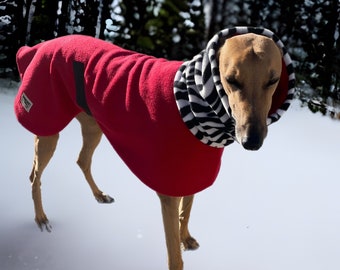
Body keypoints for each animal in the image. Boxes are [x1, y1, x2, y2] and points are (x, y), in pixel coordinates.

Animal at [14, 28, 294, 270]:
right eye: (231, 80)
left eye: (273, 80)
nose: (252, 141)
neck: (194, 102)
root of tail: (40, 46)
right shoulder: (168, 194)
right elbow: (175, 256)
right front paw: (179, 246)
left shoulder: (192, 174)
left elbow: (186, 212)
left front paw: (185, 237)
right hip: (47, 125)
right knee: (35, 176)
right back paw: (41, 218)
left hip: (93, 125)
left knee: (81, 160)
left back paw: (99, 195)